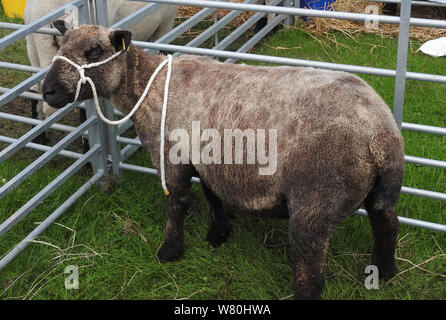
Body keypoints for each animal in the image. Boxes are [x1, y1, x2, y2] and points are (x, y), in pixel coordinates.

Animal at [41, 23, 404, 300]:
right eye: (60, 44)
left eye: (93, 52)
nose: (47, 92)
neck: (147, 86)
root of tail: (380, 133)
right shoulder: (207, 157)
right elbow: (212, 194)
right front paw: (218, 233)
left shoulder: (171, 155)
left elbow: (176, 204)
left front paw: (170, 250)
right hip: (381, 191)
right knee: (387, 223)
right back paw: (384, 272)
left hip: (316, 198)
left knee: (311, 269)